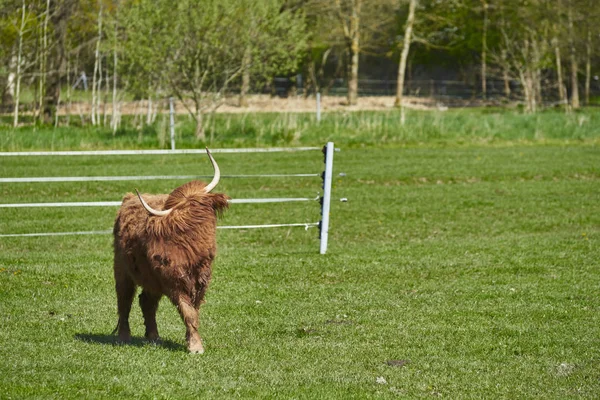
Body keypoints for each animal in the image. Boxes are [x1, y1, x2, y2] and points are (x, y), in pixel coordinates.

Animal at [111, 149, 229, 354]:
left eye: (204, 208)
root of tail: (128, 199)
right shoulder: (175, 282)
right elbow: (188, 312)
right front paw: (195, 347)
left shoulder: (201, 281)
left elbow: (194, 311)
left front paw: (191, 340)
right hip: (122, 270)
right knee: (124, 301)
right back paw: (124, 337)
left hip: (152, 278)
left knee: (146, 302)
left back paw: (154, 337)